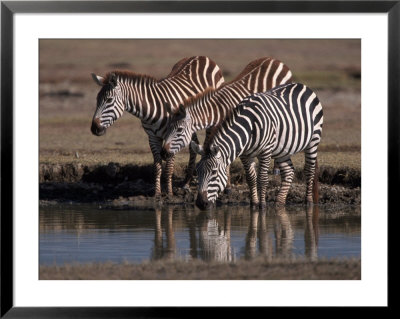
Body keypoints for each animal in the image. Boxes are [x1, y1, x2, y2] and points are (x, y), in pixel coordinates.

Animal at [89, 56, 225, 199]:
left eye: (109, 100)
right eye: (97, 99)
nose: (94, 128)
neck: (152, 111)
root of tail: (202, 57)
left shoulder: (172, 137)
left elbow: (169, 167)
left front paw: (169, 193)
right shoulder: (153, 137)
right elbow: (157, 167)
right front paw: (157, 193)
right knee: (193, 146)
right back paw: (186, 182)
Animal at [160, 57, 294, 190]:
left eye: (179, 130)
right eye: (167, 128)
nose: (163, 153)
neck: (217, 111)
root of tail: (275, 60)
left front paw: (227, 186)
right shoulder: (213, 130)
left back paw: (276, 169)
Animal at [191, 82, 324, 210]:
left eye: (214, 172)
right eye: (197, 171)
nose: (200, 204)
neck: (248, 128)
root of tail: (302, 86)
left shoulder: (265, 151)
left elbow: (262, 179)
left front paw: (262, 205)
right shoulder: (245, 154)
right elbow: (251, 178)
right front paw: (254, 204)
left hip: (313, 140)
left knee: (309, 170)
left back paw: (308, 201)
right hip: (283, 149)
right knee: (289, 172)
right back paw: (279, 203)